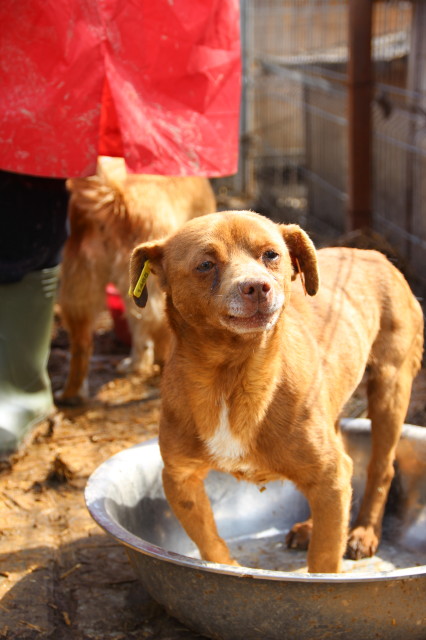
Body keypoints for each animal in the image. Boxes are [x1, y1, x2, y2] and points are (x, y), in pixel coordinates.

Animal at [129, 211, 422, 576]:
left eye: (271, 254)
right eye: (205, 264)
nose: (257, 287)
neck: (232, 377)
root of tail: (373, 254)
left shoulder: (330, 474)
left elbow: (324, 561)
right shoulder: (180, 478)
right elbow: (210, 543)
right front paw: (229, 567)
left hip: (391, 390)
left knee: (382, 468)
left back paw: (364, 532)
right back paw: (311, 526)